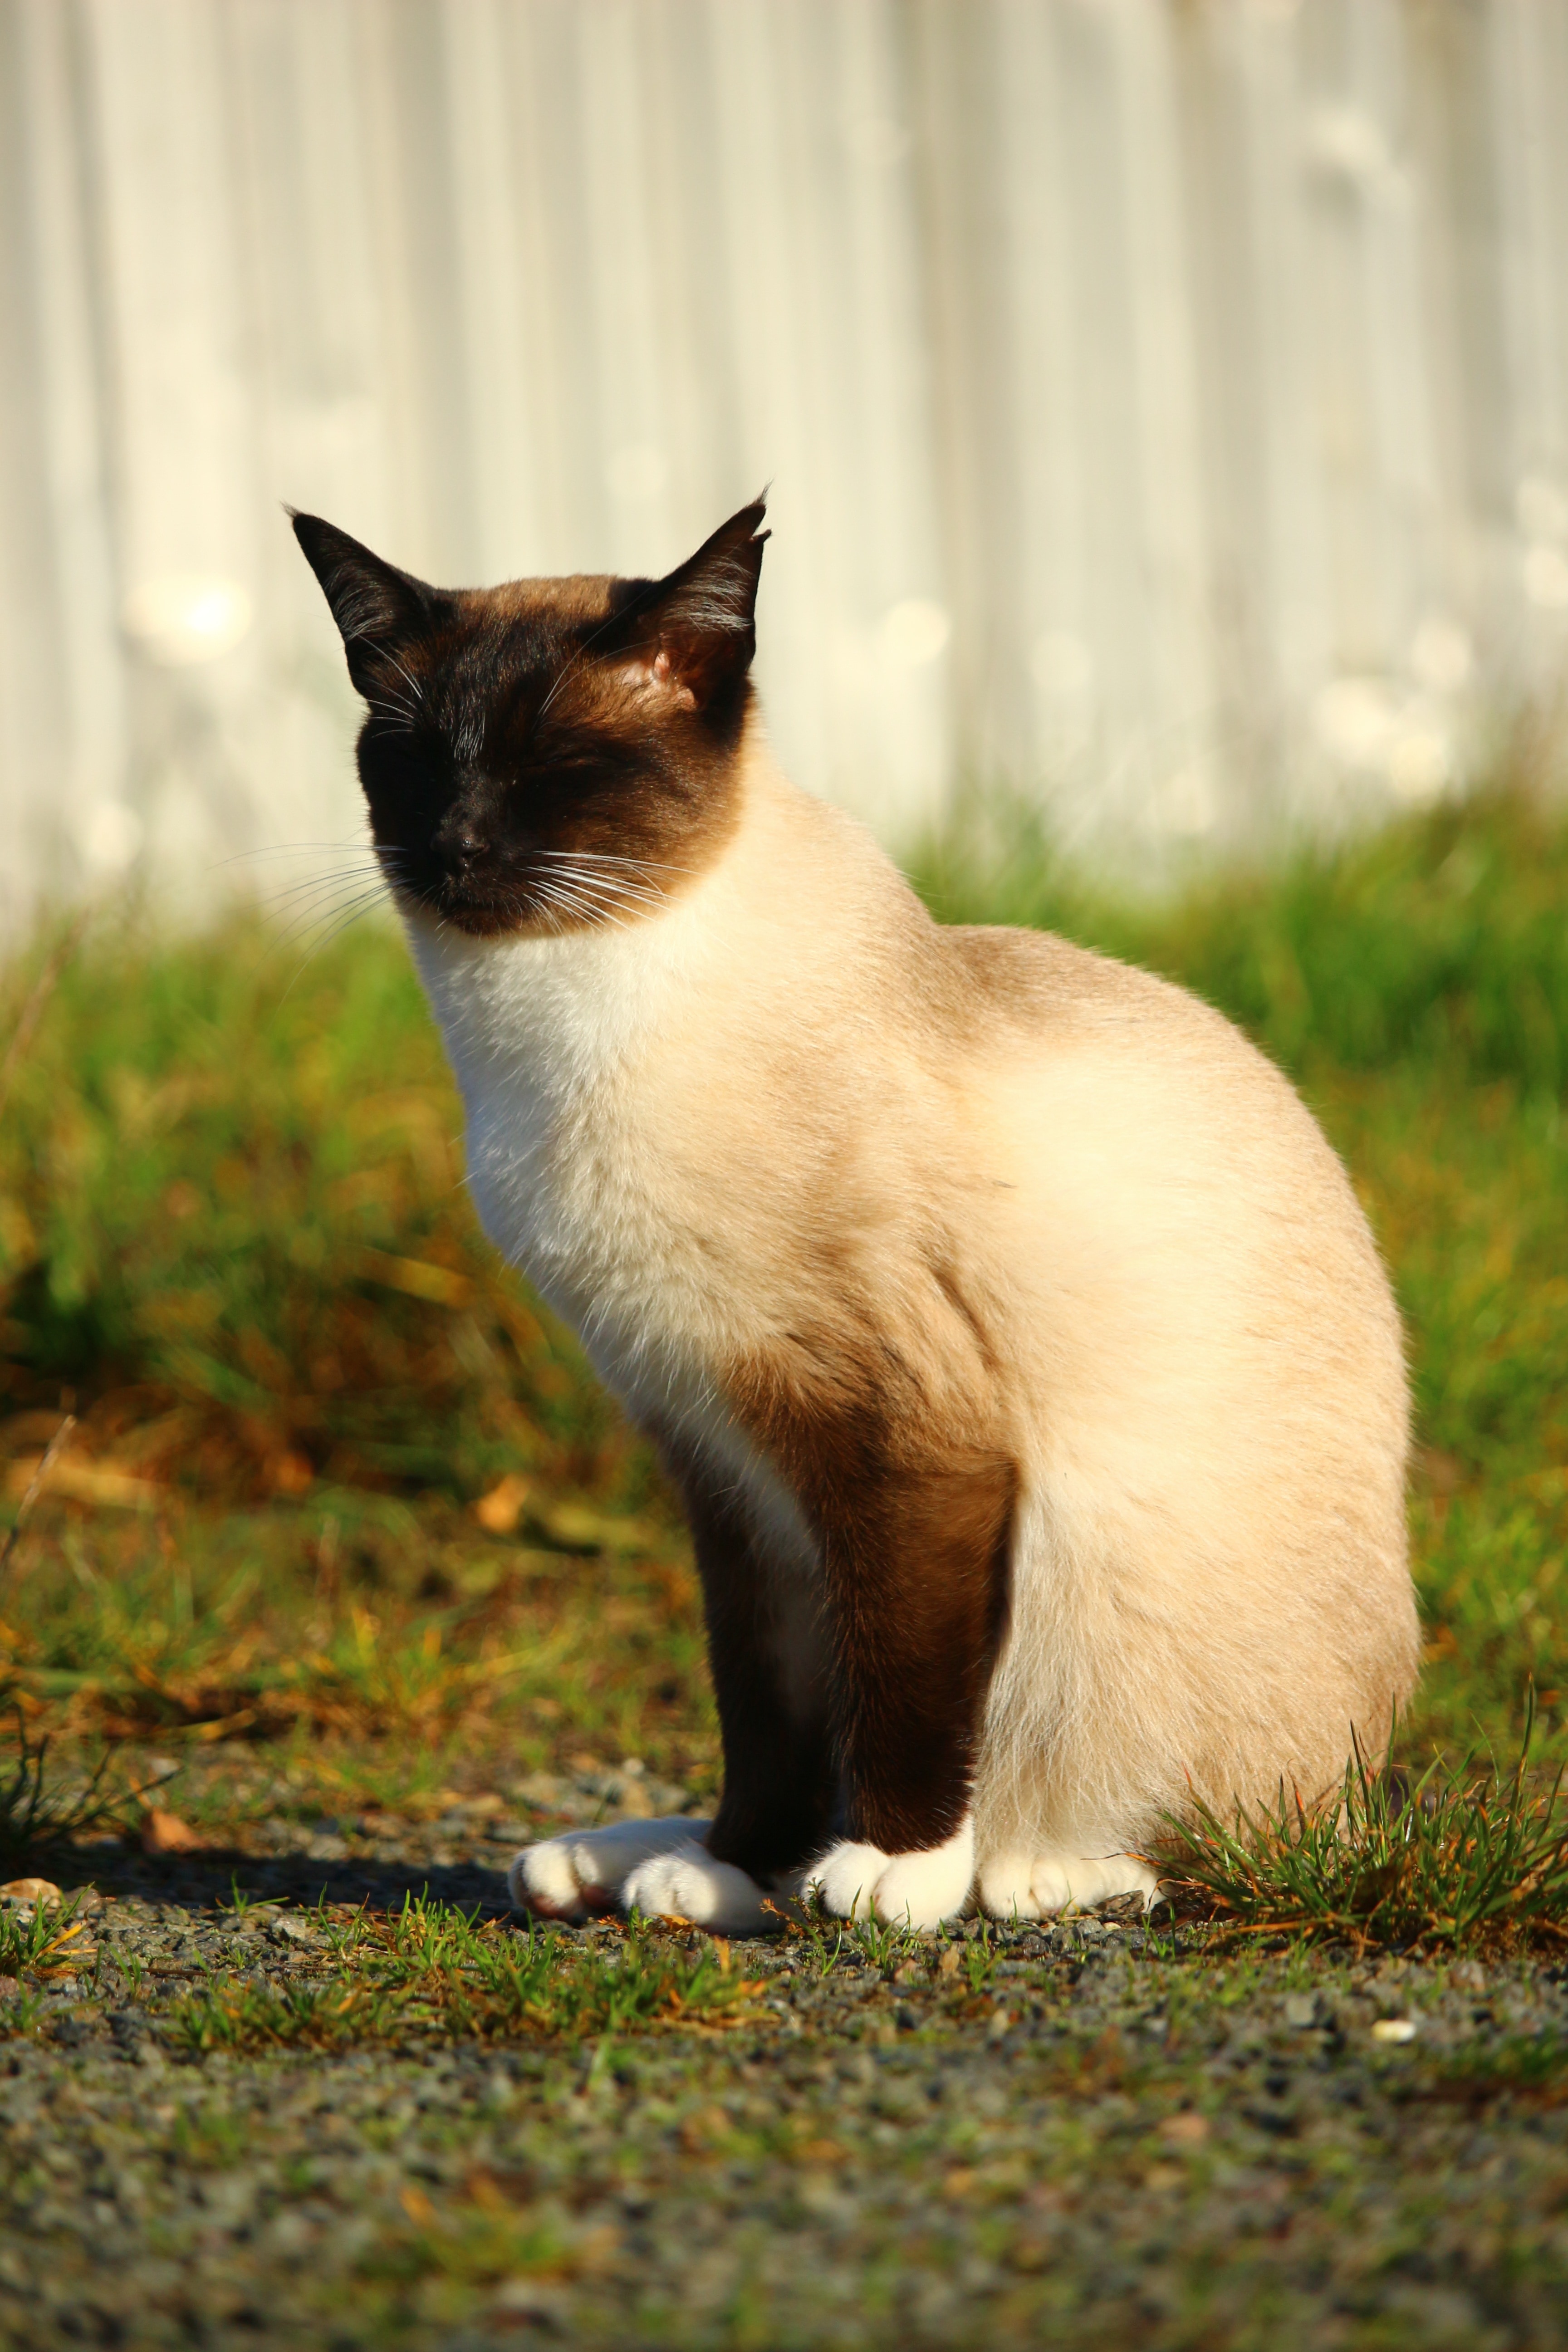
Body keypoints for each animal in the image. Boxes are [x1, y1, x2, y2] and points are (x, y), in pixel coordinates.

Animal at [291, 496, 1420, 1928]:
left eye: (556, 768)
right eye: (417, 763)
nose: (457, 850)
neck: (549, 1037)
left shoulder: (895, 1436)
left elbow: (902, 1677)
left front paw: (896, 1871)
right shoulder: (717, 1451)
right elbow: (766, 1706)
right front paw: (738, 1864)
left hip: (1104, 1575)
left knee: (1213, 1840)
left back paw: (1038, 1868)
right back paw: (642, 1867)